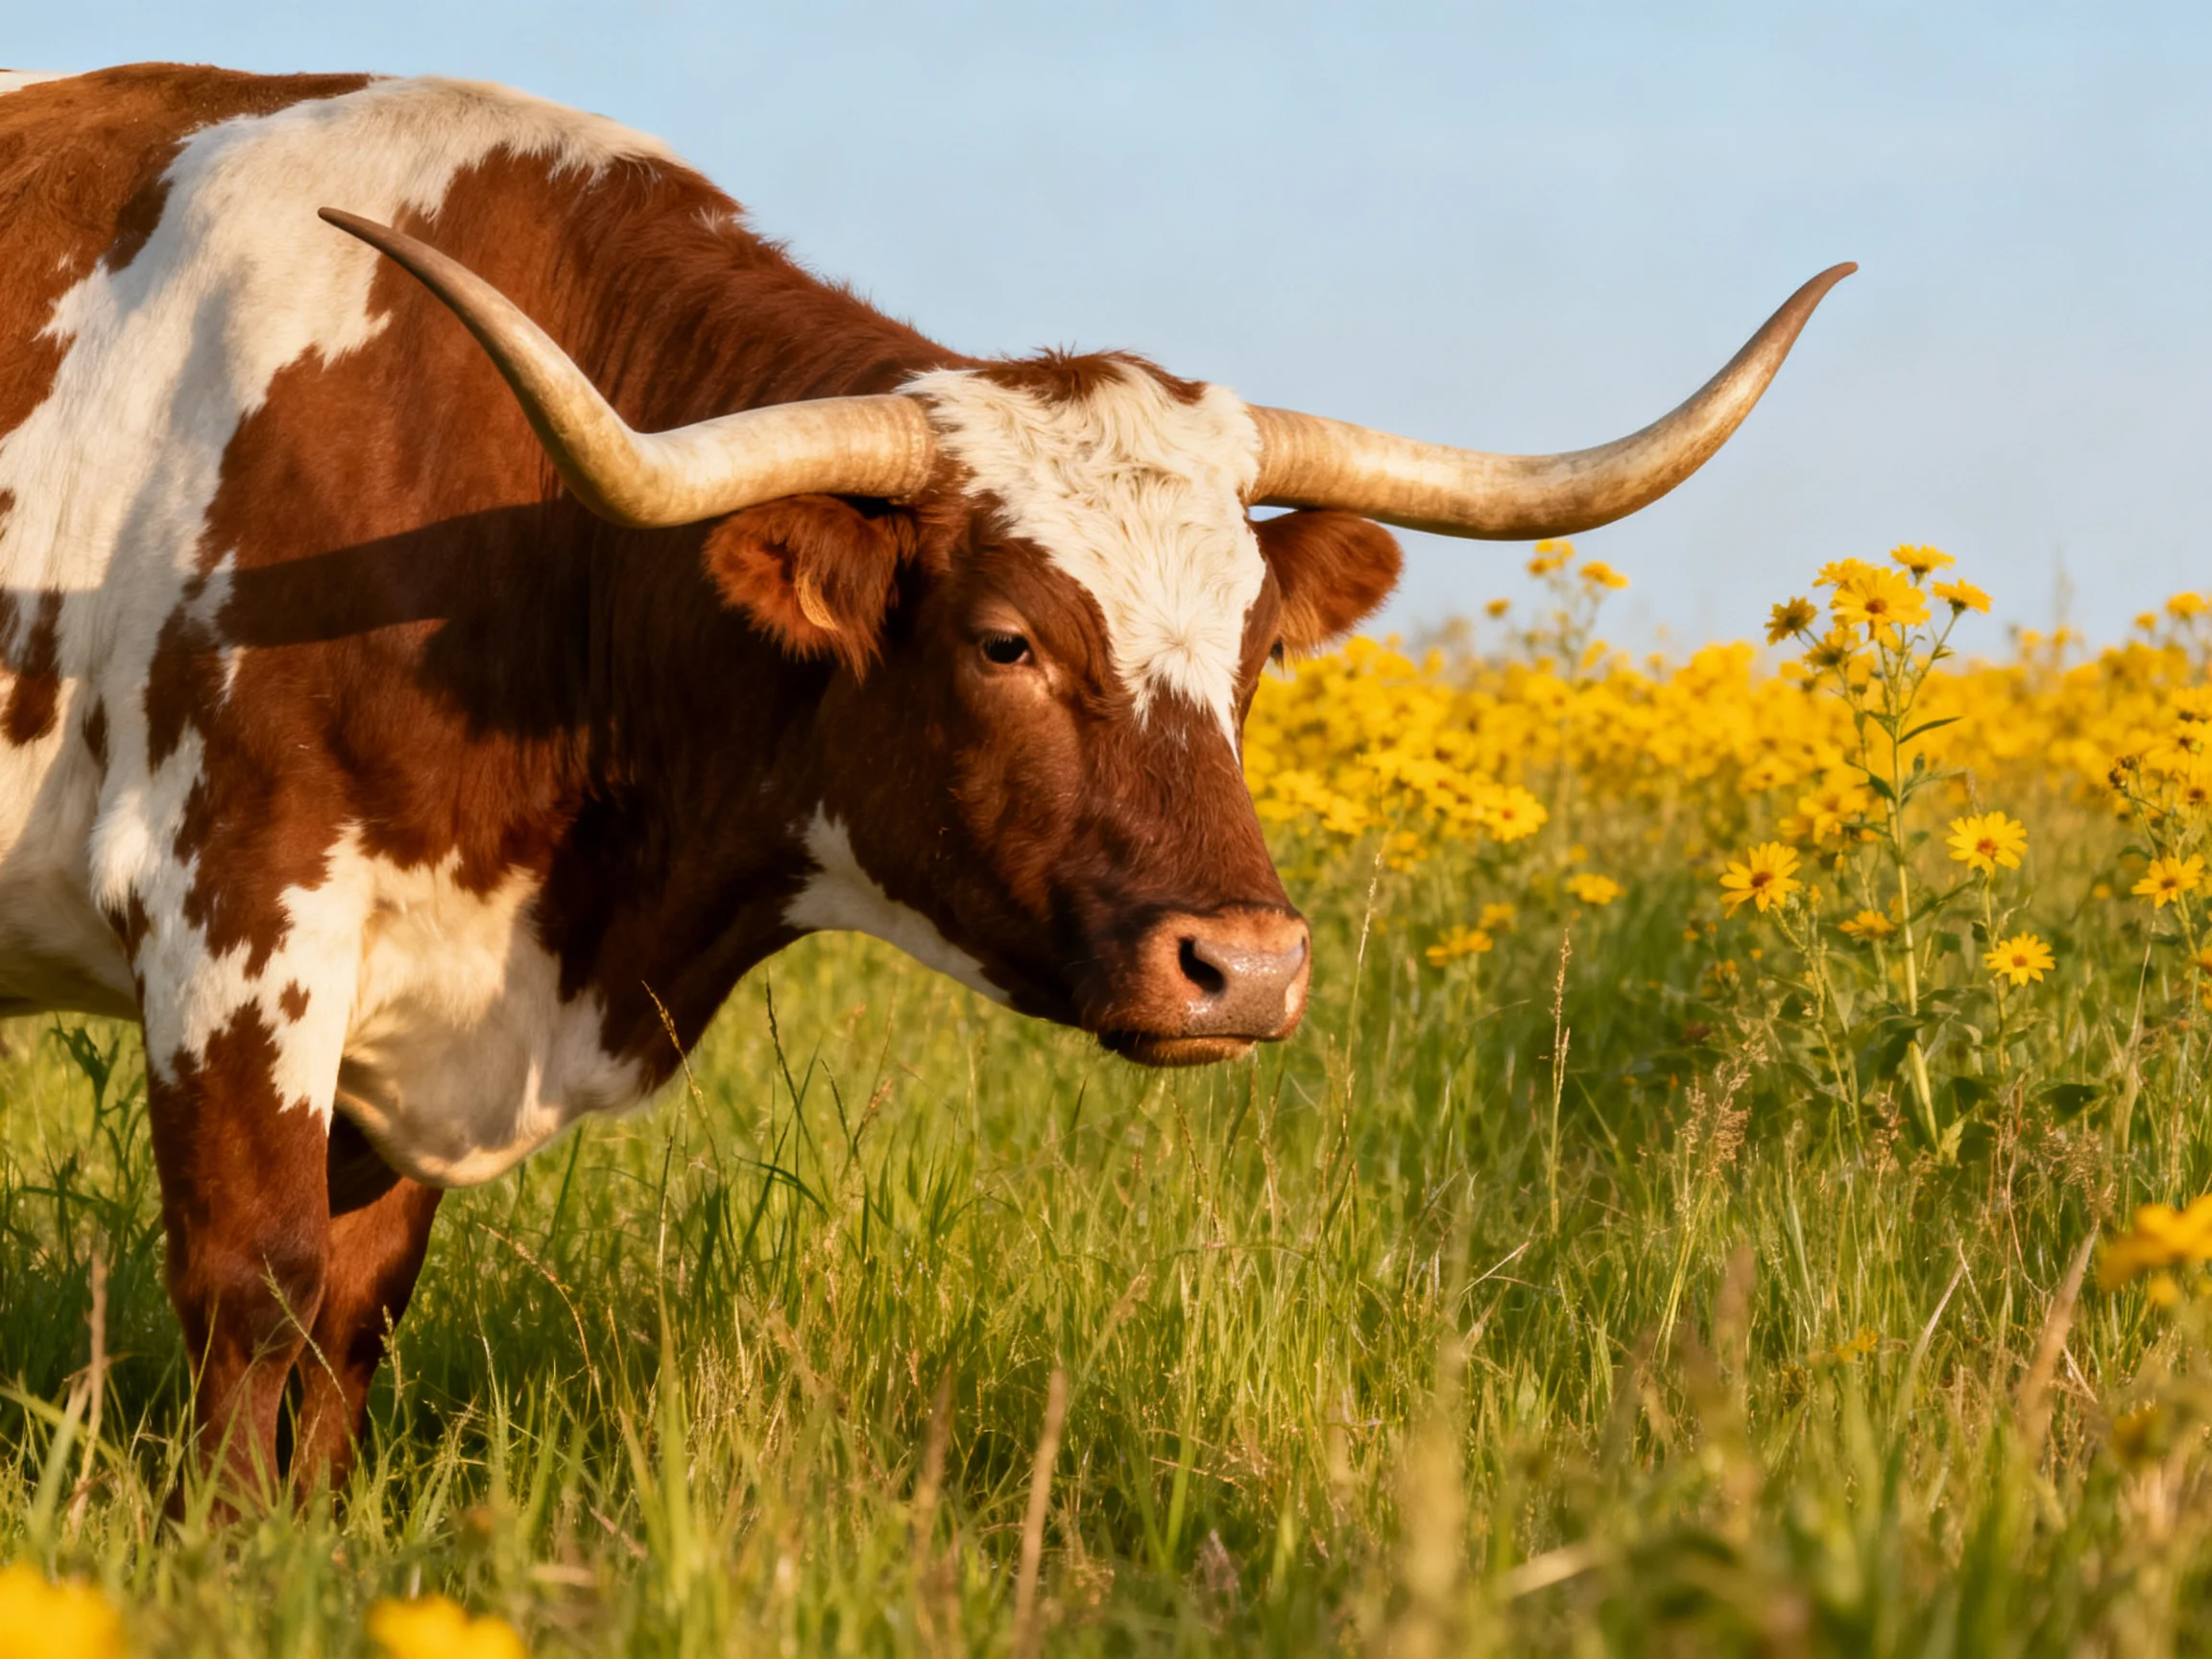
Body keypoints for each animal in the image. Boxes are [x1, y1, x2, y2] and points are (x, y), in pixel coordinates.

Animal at [0, 64, 1849, 1501]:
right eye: (1005, 641)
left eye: (1256, 647)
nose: (1245, 967)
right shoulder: (234, 922)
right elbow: (260, 1288)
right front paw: (241, 1555)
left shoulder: (414, 1005)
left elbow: (358, 1310)